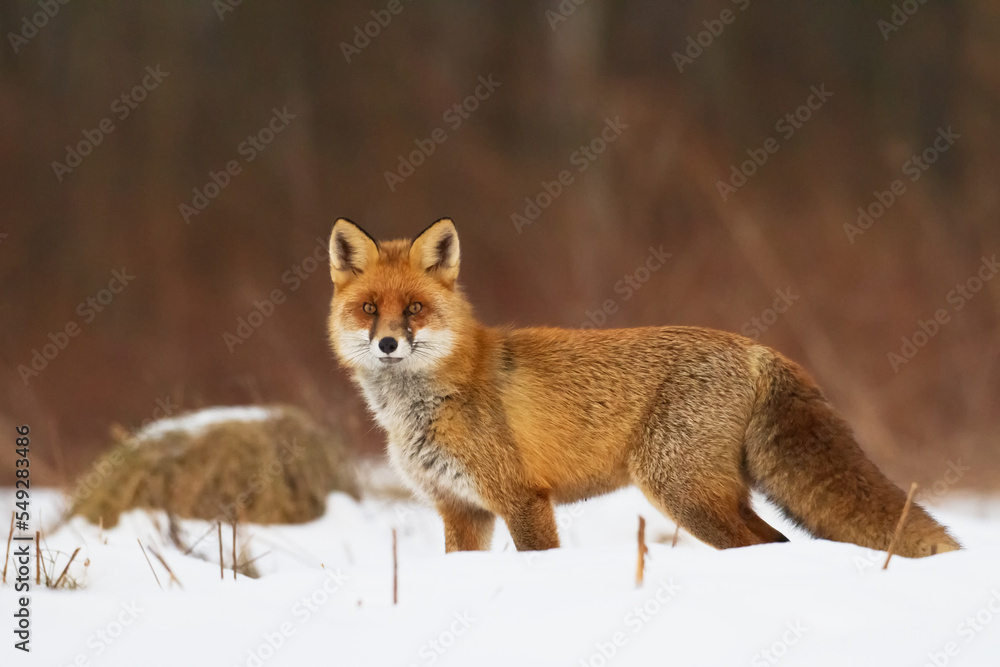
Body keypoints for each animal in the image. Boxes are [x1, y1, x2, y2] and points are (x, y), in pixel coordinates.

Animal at [326, 217, 960, 557]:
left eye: (414, 309)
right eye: (369, 309)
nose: (389, 344)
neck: (423, 404)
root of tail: (758, 347)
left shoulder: (522, 498)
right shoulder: (460, 509)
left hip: (679, 489)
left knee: (763, 546)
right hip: (710, 493)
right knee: (778, 544)